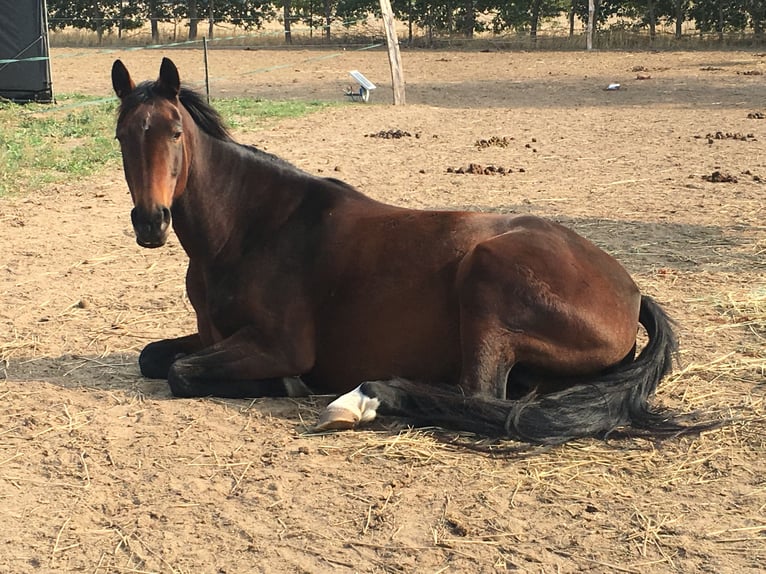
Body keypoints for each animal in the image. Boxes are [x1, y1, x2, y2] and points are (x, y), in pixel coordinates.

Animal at [111, 58, 704, 446]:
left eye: (174, 132)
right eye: (121, 136)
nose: (151, 222)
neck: (250, 229)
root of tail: (630, 291)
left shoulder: (279, 344)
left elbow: (182, 372)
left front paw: (288, 384)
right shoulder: (217, 334)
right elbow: (154, 358)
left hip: (486, 277)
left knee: (478, 396)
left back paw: (361, 399)